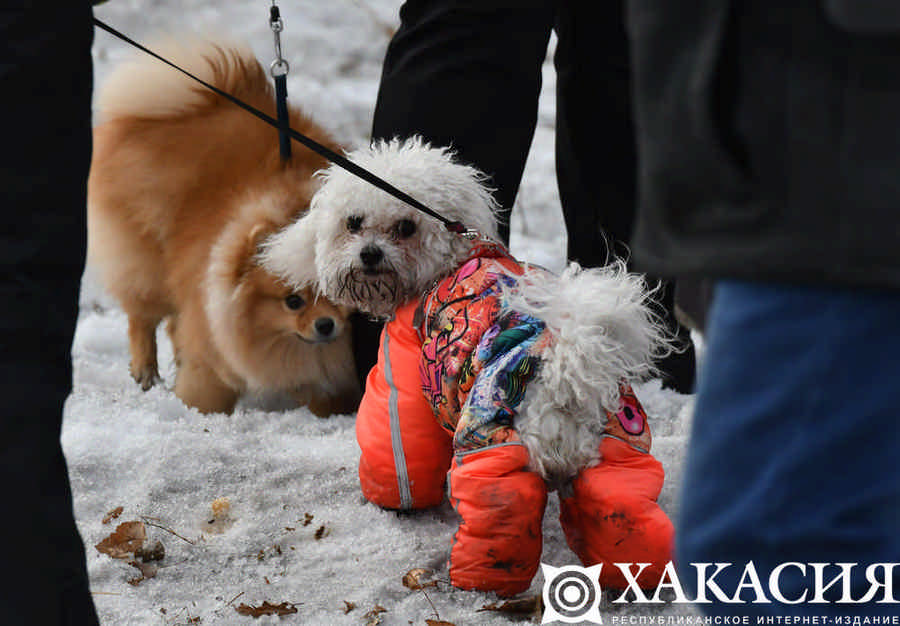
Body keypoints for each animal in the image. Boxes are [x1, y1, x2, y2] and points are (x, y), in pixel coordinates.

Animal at [86, 39, 360, 414]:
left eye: (332, 294)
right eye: (292, 301)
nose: (326, 325)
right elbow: (207, 382)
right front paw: (198, 411)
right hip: (147, 260)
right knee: (142, 314)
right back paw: (145, 369)